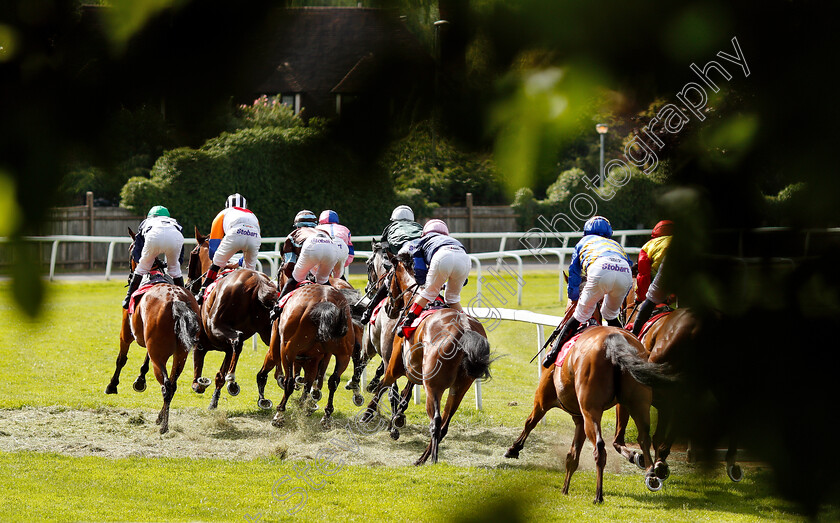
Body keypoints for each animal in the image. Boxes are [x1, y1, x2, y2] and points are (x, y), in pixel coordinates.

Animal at [104, 228, 201, 434]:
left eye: (130, 249)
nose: (130, 274)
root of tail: (177, 300)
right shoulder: (151, 340)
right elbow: (145, 361)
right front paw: (140, 380)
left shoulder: (126, 333)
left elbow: (121, 359)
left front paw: (112, 385)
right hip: (180, 354)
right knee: (173, 384)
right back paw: (161, 417)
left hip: (160, 354)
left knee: (166, 385)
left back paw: (164, 425)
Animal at [185, 227, 278, 412]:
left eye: (192, 254)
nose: (189, 284)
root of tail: (257, 281)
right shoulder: (226, 350)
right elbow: (219, 375)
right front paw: (213, 401)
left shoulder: (200, 345)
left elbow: (197, 377)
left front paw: (201, 384)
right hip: (268, 331)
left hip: (217, 326)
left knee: (238, 339)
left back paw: (233, 382)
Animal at [360, 256, 492, 464]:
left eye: (389, 280)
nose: (388, 307)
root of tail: (465, 331)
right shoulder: (413, 371)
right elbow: (401, 396)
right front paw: (395, 421)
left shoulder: (394, 365)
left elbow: (384, 385)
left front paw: (367, 414)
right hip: (460, 387)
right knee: (445, 424)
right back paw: (422, 458)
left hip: (433, 386)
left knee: (436, 421)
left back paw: (431, 460)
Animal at [506, 300, 668, 506]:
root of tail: (615, 343)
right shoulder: (579, 418)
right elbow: (572, 456)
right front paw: (565, 488)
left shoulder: (543, 398)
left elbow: (530, 422)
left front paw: (513, 448)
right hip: (637, 403)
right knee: (644, 437)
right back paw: (651, 474)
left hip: (591, 408)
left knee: (599, 446)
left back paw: (599, 494)